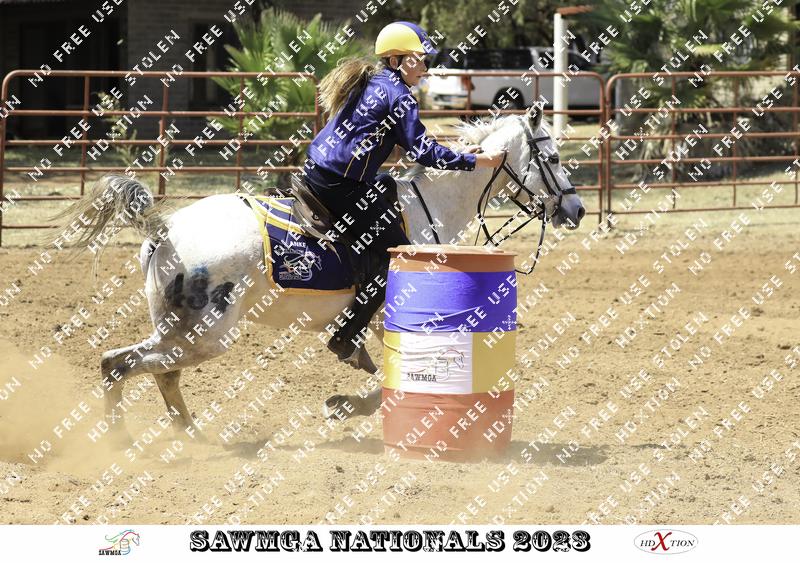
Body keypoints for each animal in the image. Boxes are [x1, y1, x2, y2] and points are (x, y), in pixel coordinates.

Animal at [55, 103, 585, 445]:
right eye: (555, 157)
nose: (576, 209)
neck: (426, 205)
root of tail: (164, 230)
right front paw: (344, 403)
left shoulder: (383, 321)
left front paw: (348, 400)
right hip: (204, 335)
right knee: (119, 364)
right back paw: (122, 440)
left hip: (179, 331)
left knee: (155, 373)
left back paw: (191, 436)